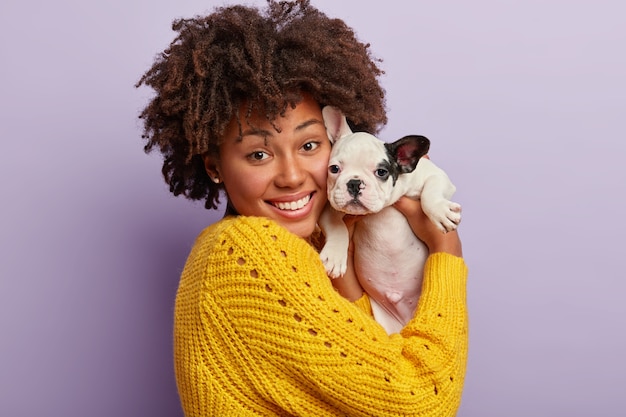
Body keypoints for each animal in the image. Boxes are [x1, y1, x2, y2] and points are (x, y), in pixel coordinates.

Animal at [322, 105, 458, 334]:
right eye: (334, 169)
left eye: (381, 172)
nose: (354, 183)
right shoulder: (331, 204)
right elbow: (336, 225)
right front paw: (335, 256)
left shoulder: (435, 176)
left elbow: (431, 191)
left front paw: (440, 211)